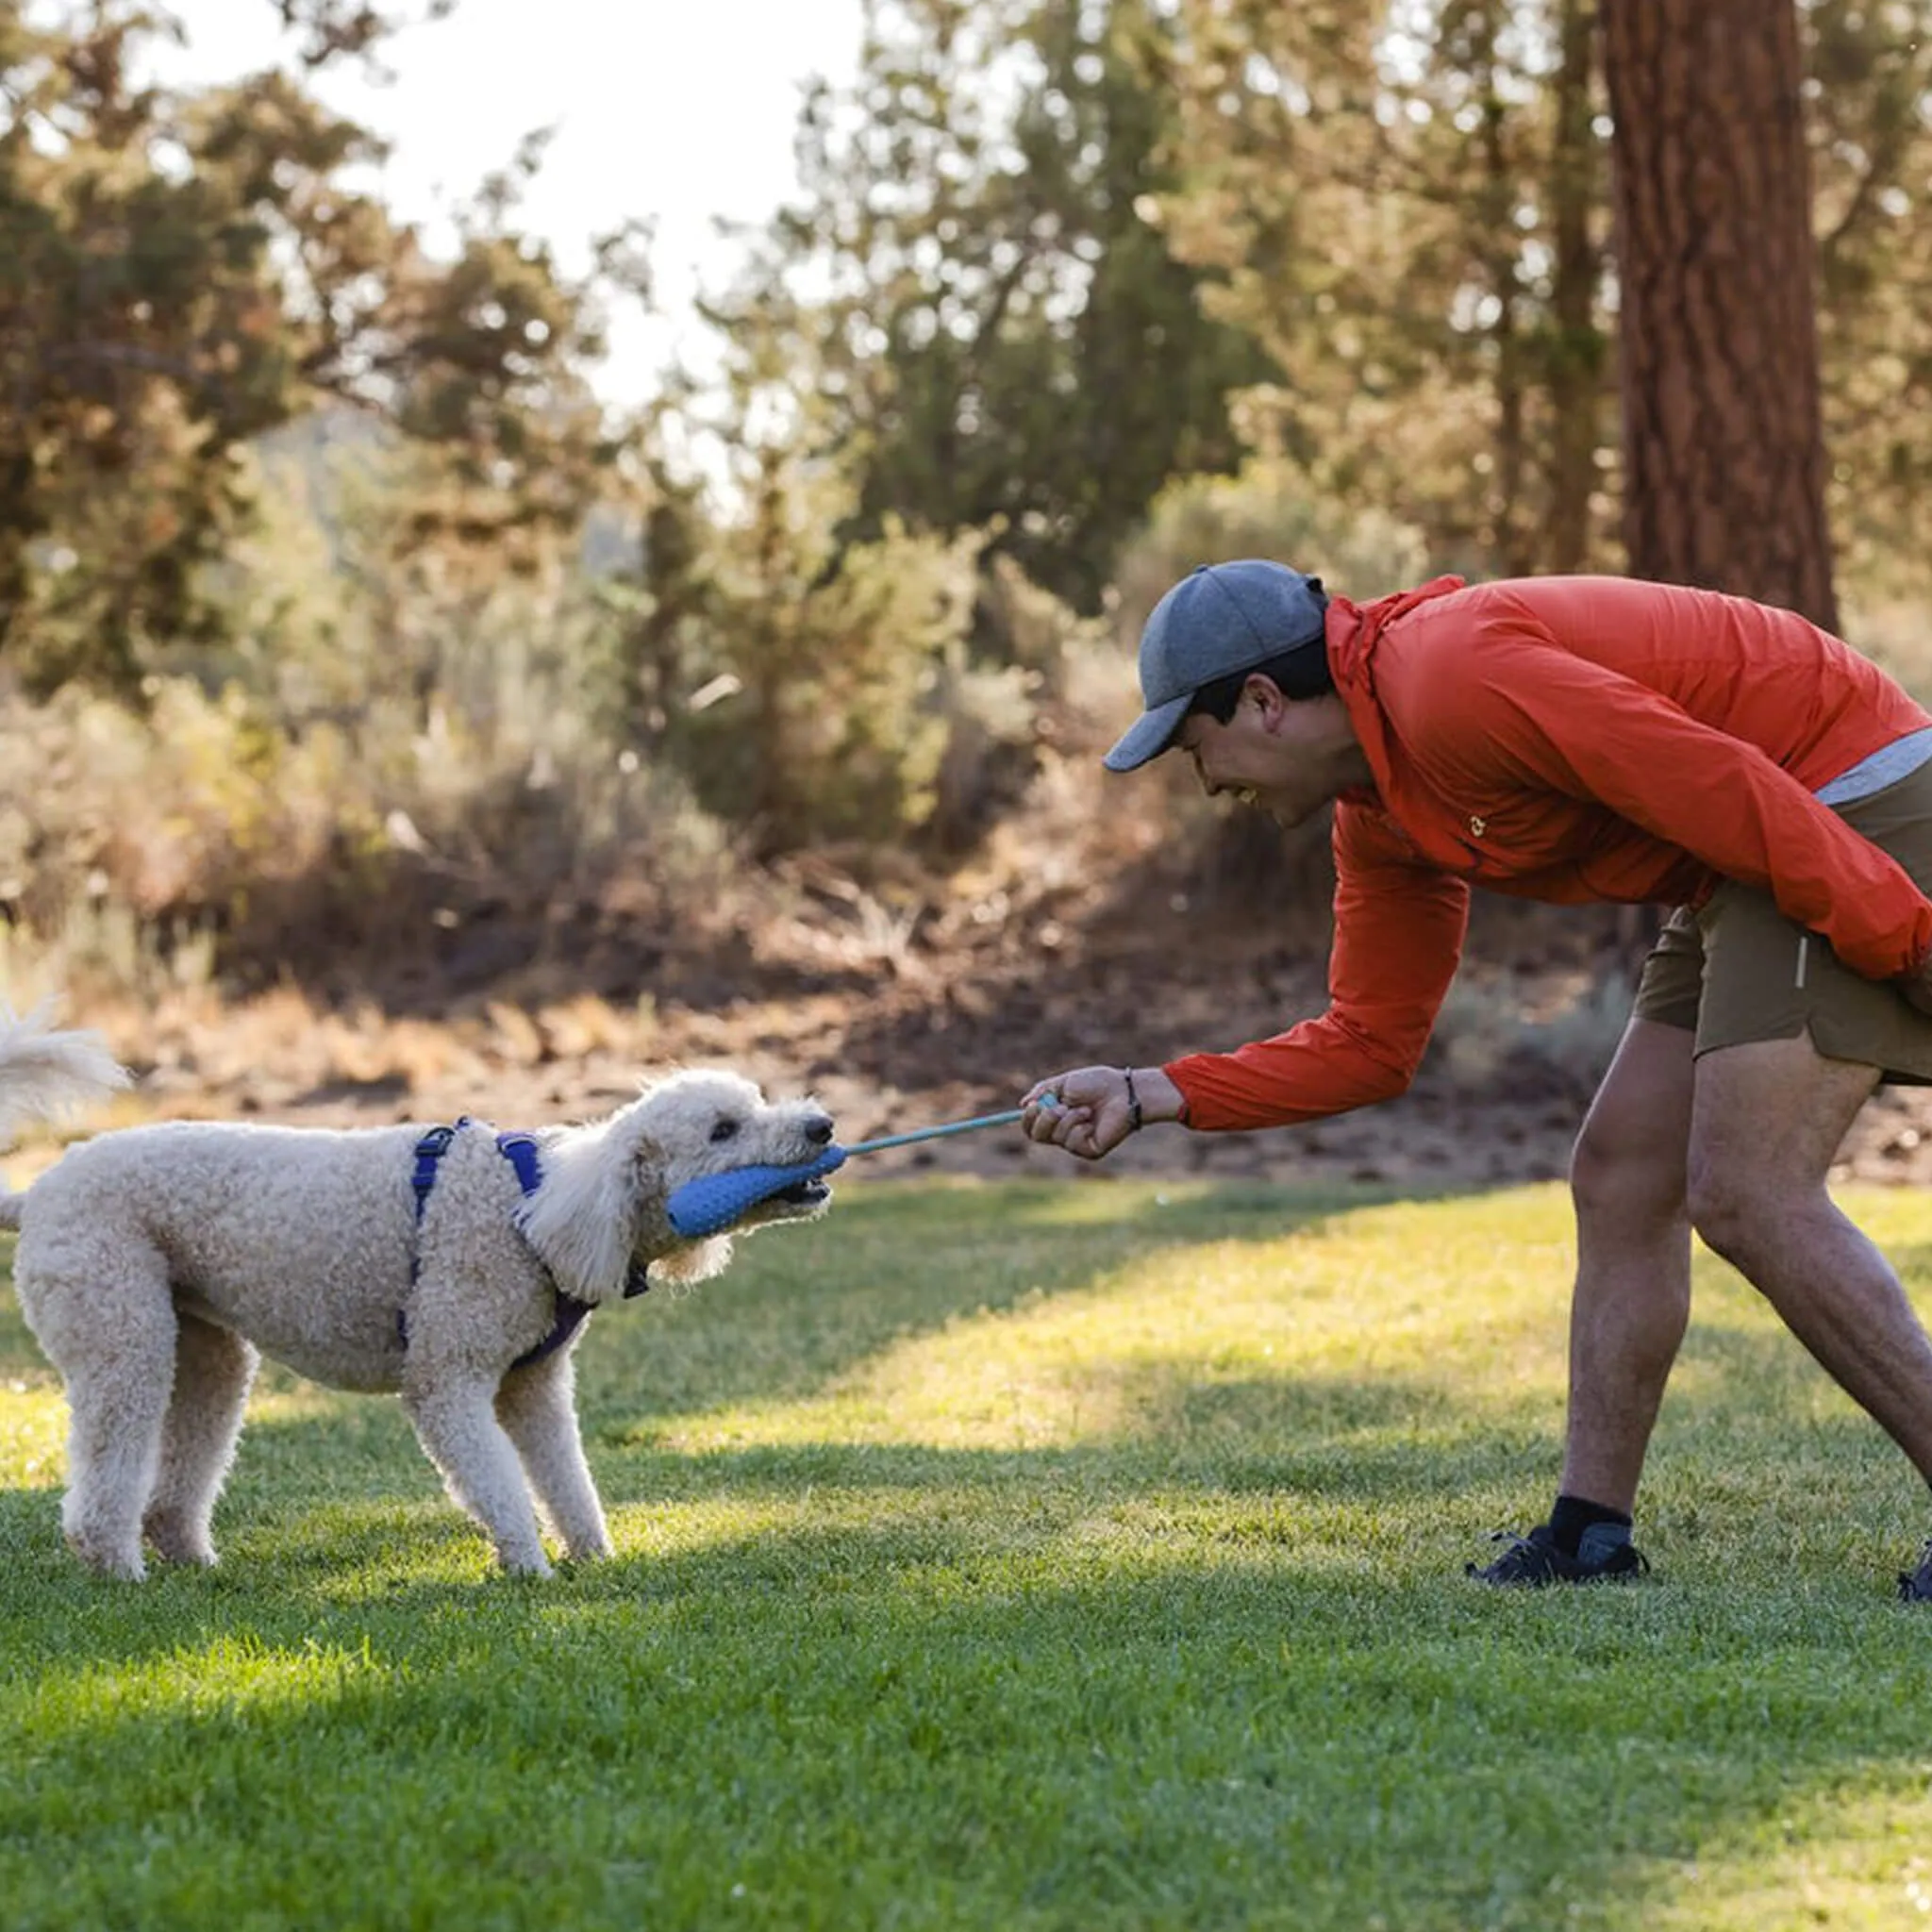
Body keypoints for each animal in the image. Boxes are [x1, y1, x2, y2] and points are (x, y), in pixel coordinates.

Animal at [8, 1004, 838, 1576]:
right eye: (724, 1129)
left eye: (757, 1102)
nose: (824, 1126)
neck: (535, 1206)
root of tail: (35, 1192)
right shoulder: (449, 1377)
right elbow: (499, 1484)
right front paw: (530, 1568)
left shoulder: (534, 1387)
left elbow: (567, 1480)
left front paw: (594, 1559)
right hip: (121, 1331)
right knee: (106, 1467)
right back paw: (119, 1568)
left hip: (208, 1354)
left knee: (181, 1470)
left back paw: (195, 1563)